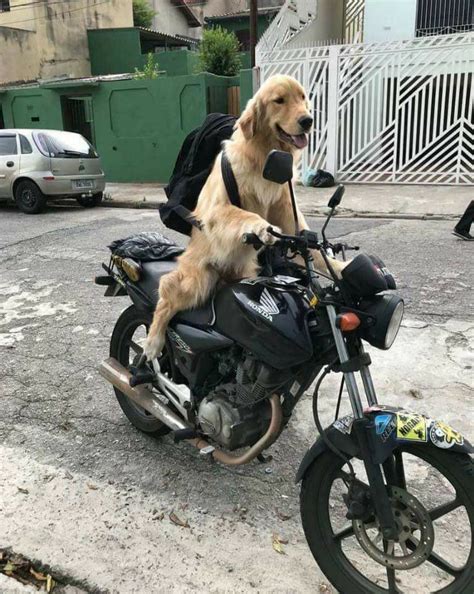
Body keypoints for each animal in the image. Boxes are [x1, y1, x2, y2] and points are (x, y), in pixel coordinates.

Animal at [143, 74, 346, 360]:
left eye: (303, 97)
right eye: (279, 100)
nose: (308, 120)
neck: (263, 155)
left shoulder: (286, 207)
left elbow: (310, 244)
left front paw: (338, 266)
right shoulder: (218, 209)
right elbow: (245, 214)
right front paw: (262, 229)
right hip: (198, 281)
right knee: (166, 296)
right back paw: (153, 341)